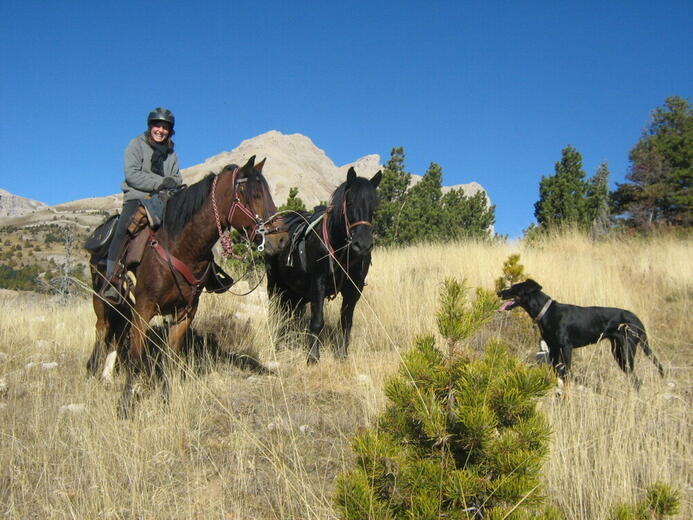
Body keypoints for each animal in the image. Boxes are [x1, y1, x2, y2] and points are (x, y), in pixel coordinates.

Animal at [87, 156, 286, 416]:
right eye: (254, 195)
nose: (281, 239)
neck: (180, 246)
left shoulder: (185, 312)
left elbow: (170, 357)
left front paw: (166, 400)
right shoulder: (144, 308)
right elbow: (136, 357)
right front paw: (125, 405)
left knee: (118, 332)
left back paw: (107, 375)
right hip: (102, 298)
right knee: (102, 329)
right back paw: (93, 371)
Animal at [266, 167, 384, 362]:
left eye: (374, 207)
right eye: (349, 203)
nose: (363, 244)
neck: (341, 250)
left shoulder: (354, 289)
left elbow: (346, 322)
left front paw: (342, 354)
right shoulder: (318, 283)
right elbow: (317, 320)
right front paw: (313, 356)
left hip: (296, 292)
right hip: (274, 284)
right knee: (275, 311)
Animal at [494, 278, 664, 384]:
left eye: (513, 288)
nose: (498, 292)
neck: (546, 312)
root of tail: (637, 320)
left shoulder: (566, 348)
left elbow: (566, 373)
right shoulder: (553, 348)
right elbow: (555, 372)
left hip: (626, 351)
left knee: (637, 380)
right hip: (618, 351)